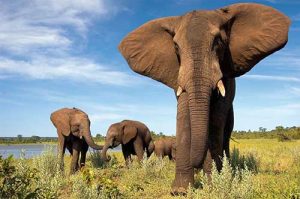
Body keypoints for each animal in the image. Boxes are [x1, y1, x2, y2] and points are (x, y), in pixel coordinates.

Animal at [118, 2, 290, 193]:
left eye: (218, 41)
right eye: (176, 47)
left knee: (225, 133)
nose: (196, 164)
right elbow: (184, 116)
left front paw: (212, 185)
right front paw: (180, 191)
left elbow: (215, 120)